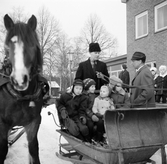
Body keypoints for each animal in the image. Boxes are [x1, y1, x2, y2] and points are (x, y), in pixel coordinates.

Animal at [0, 14, 48, 164]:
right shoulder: (2, 124)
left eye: (32, 44)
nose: (19, 80)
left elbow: (33, 149)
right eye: (7, 46)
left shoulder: (33, 122)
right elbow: (3, 150)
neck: (21, 96)